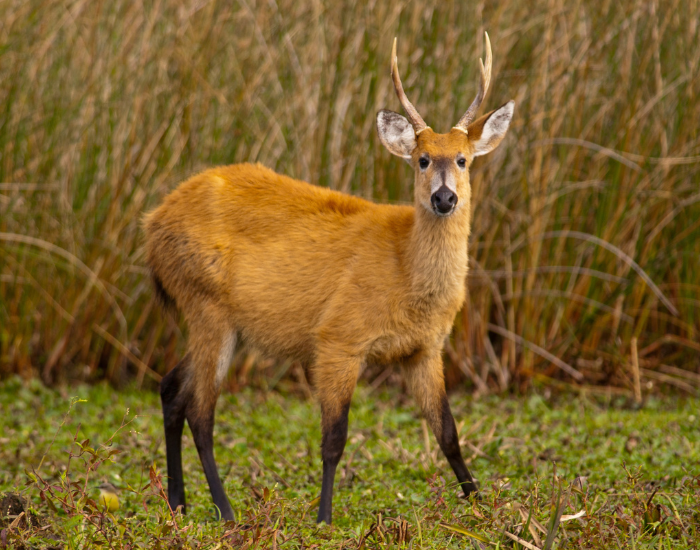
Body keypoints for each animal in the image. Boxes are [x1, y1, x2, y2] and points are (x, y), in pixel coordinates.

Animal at [143, 33, 514, 525]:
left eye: (463, 159)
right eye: (421, 160)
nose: (444, 198)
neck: (405, 272)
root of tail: (153, 223)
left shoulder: (425, 349)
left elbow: (448, 432)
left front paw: (479, 503)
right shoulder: (338, 339)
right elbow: (334, 439)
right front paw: (323, 517)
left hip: (219, 321)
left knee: (170, 388)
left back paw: (178, 502)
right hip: (206, 306)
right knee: (201, 413)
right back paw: (225, 510)